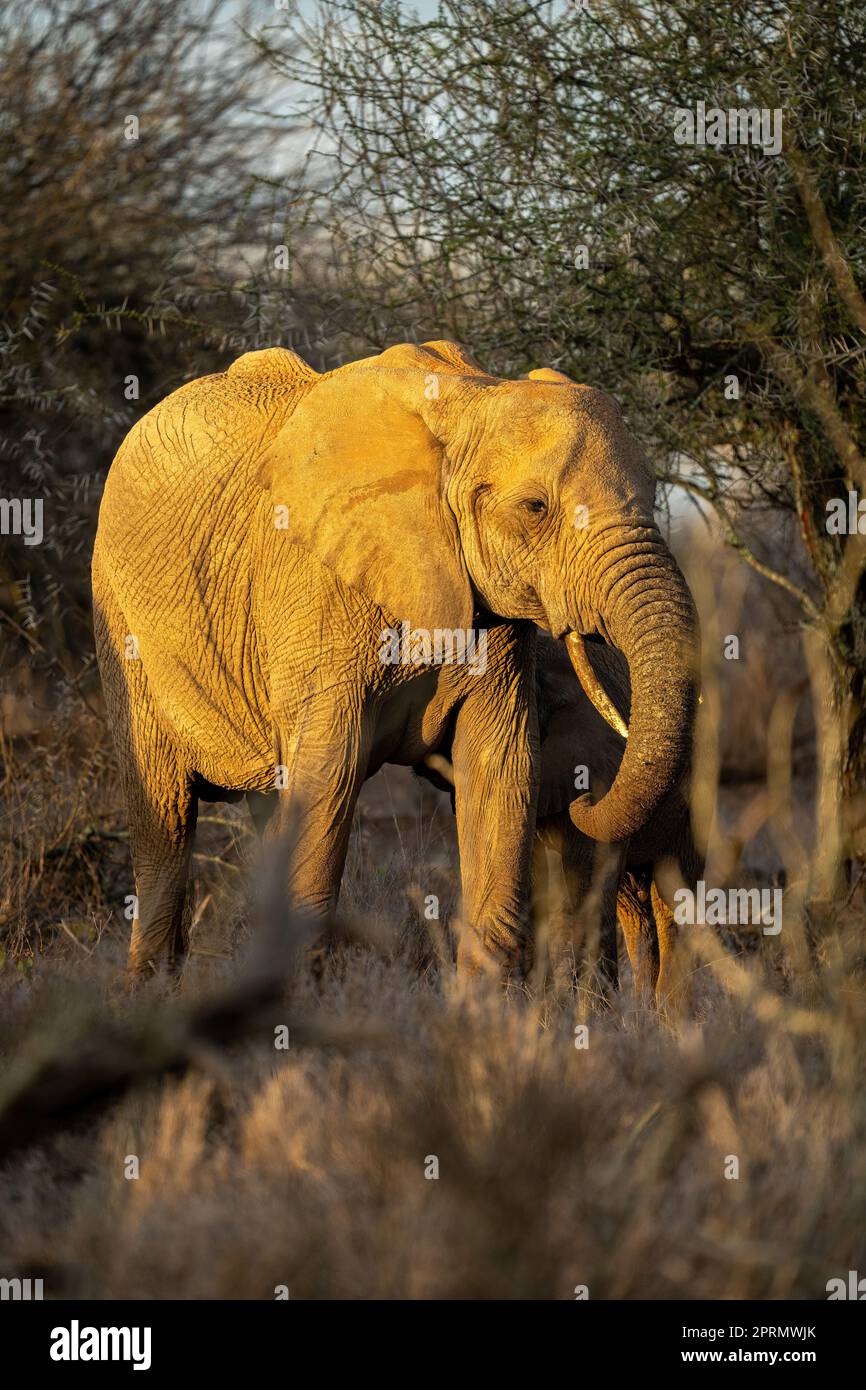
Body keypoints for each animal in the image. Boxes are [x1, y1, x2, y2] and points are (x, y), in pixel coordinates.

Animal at [91, 340, 699, 979]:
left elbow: (500, 771)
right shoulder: (317, 594)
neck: (472, 400)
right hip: (121, 620)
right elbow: (328, 778)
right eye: (535, 507)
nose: (587, 798)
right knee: (164, 816)